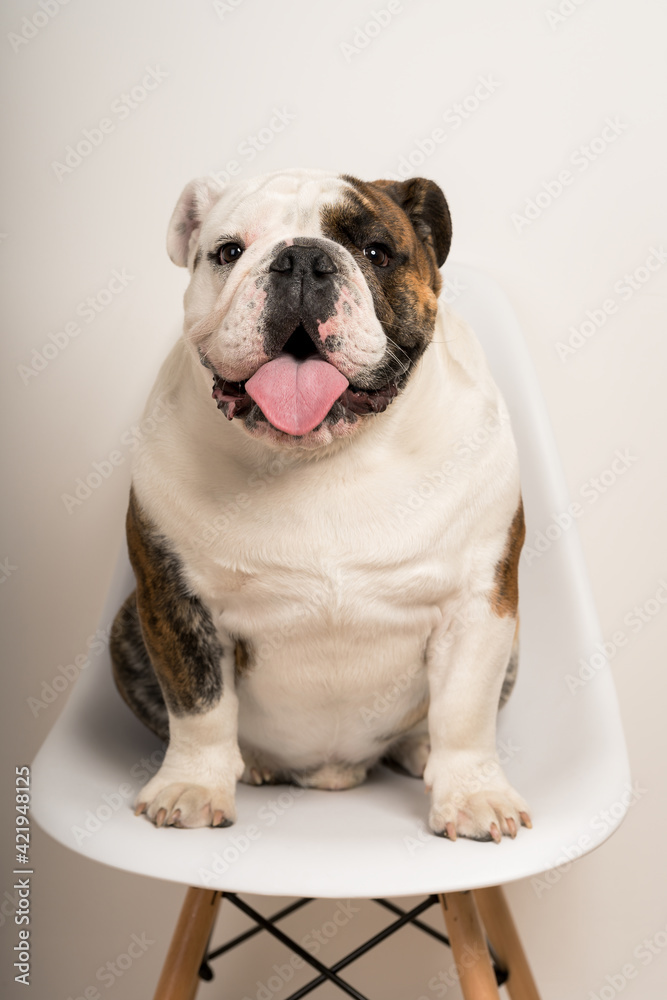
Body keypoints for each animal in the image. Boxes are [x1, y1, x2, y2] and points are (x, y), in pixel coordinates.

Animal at [112, 168, 536, 840]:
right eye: (229, 251)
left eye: (377, 252)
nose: (303, 261)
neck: (323, 458)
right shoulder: (172, 599)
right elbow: (199, 706)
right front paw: (192, 786)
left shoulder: (481, 604)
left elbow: (466, 710)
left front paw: (473, 795)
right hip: (125, 623)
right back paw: (255, 764)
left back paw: (420, 751)